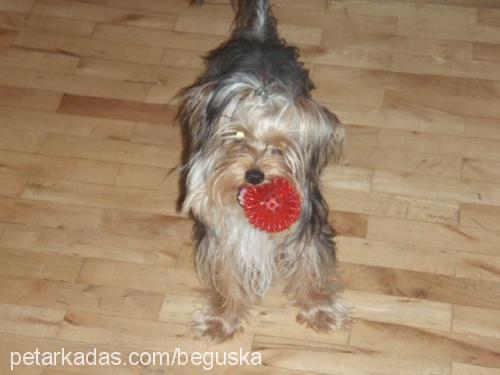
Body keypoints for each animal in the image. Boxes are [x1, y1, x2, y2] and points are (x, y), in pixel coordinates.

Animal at [179, 0, 348, 344]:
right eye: (238, 137)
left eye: (279, 148)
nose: (255, 176)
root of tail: (257, 36)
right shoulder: (223, 232)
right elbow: (227, 273)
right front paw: (222, 320)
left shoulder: (306, 223)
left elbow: (309, 264)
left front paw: (318, 309)